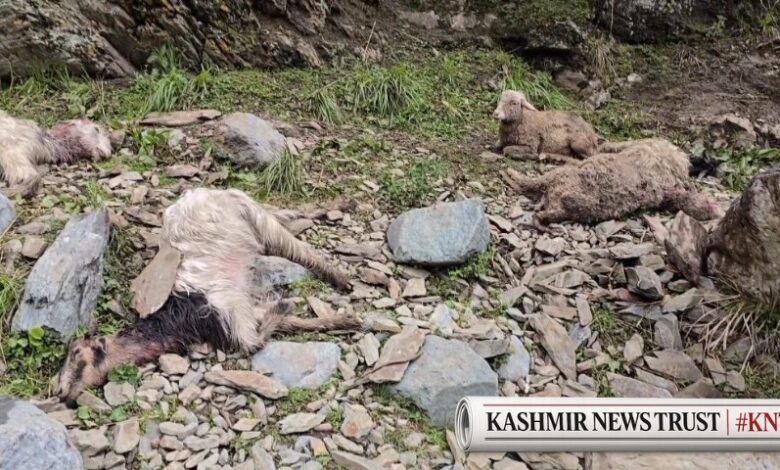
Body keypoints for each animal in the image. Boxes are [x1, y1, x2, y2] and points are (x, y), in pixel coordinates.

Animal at [56, 188, 359, 405]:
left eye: (77, 355)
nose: (60, 392)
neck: (177, 318)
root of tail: (199, 192)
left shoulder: (228, 302)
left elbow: (251, 343)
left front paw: (285, 305)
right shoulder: (235, 313)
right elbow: (279, 326)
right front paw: (343, 320)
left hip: (248, 214)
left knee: (290, 242)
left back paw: (339, 276)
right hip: (247, 207)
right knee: (285, 213)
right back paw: (341, 205)